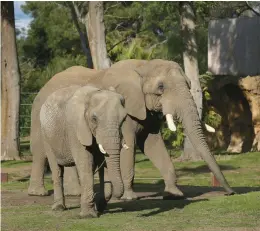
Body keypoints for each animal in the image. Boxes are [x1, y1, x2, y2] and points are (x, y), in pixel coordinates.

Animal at [27, 58, 235, 201]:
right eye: (161, 87)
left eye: (189, 84)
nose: (230, 193)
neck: (143, 66)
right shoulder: (124, 109)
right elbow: (127, 144)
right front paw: (129, 197)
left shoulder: (146, 111)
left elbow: (153, 144)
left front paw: (174, 194)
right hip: (39, 116)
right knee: (40, 152)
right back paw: (39, 194)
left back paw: (75, 194)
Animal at [39, 85, 127, 218]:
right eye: (94, 119)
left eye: (124, 119)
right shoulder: (76, 128)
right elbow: (85, 163)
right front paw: (88, 215)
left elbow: (103, 164)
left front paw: (99, 207)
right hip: (46, 136)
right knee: (56, 169)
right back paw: (58, 208)